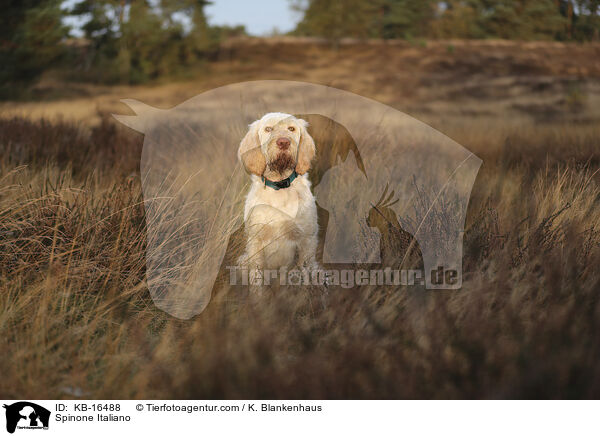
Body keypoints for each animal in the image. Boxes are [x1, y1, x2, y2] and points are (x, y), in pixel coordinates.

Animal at [237, 112, 318, 282]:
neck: (280, 186)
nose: (283, 142)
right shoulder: (256, 242)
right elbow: (257, 281)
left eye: (291, 129)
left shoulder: (306, 241)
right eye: (268, 129)